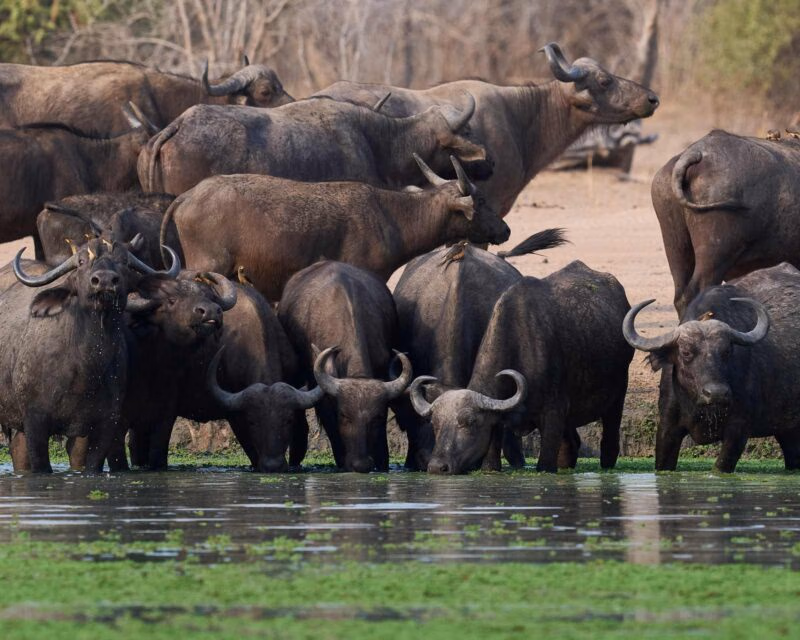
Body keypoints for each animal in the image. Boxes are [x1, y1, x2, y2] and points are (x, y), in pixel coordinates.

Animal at [410, 261, 633, 474]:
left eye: (469, 421)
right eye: (435, 423)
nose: (437, 467)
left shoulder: (553, 414)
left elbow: (545, 464)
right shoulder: (496, 423)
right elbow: (490, 465)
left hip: (618, 396)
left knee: (609, 444)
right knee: (572, 445)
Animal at [624, 263, 799, 472]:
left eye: (726, 351)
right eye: (686, 353)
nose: (716, 393)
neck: (699, 406)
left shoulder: (738, 430)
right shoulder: (667, 426)